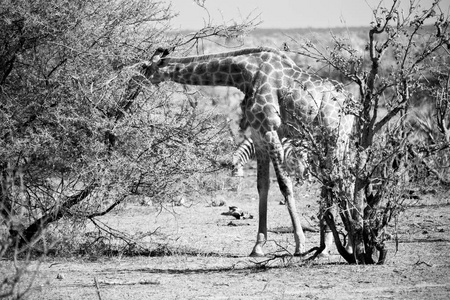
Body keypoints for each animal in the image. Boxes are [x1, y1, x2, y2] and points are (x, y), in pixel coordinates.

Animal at [137, 47, 356, 258]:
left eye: (145, 67)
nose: (135, 83)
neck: (245, 74)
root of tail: (350, 101)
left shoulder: (270, 130)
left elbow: (285, 185)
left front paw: (300, 245)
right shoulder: (258, 135)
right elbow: (262, 186)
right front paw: (258, 246)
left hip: (334, 138)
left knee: (338, 181)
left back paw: (334, 246)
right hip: (338, 140)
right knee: (344, 180)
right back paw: (339, 245)